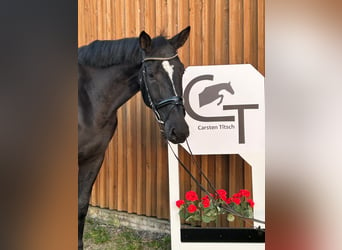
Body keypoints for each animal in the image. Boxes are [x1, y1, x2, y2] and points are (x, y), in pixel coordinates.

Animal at [77, 26, 191, 249]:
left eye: (181, 70)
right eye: (151, 74)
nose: (180, 131)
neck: (86, 101)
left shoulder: (94, 157)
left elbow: (81, 205)